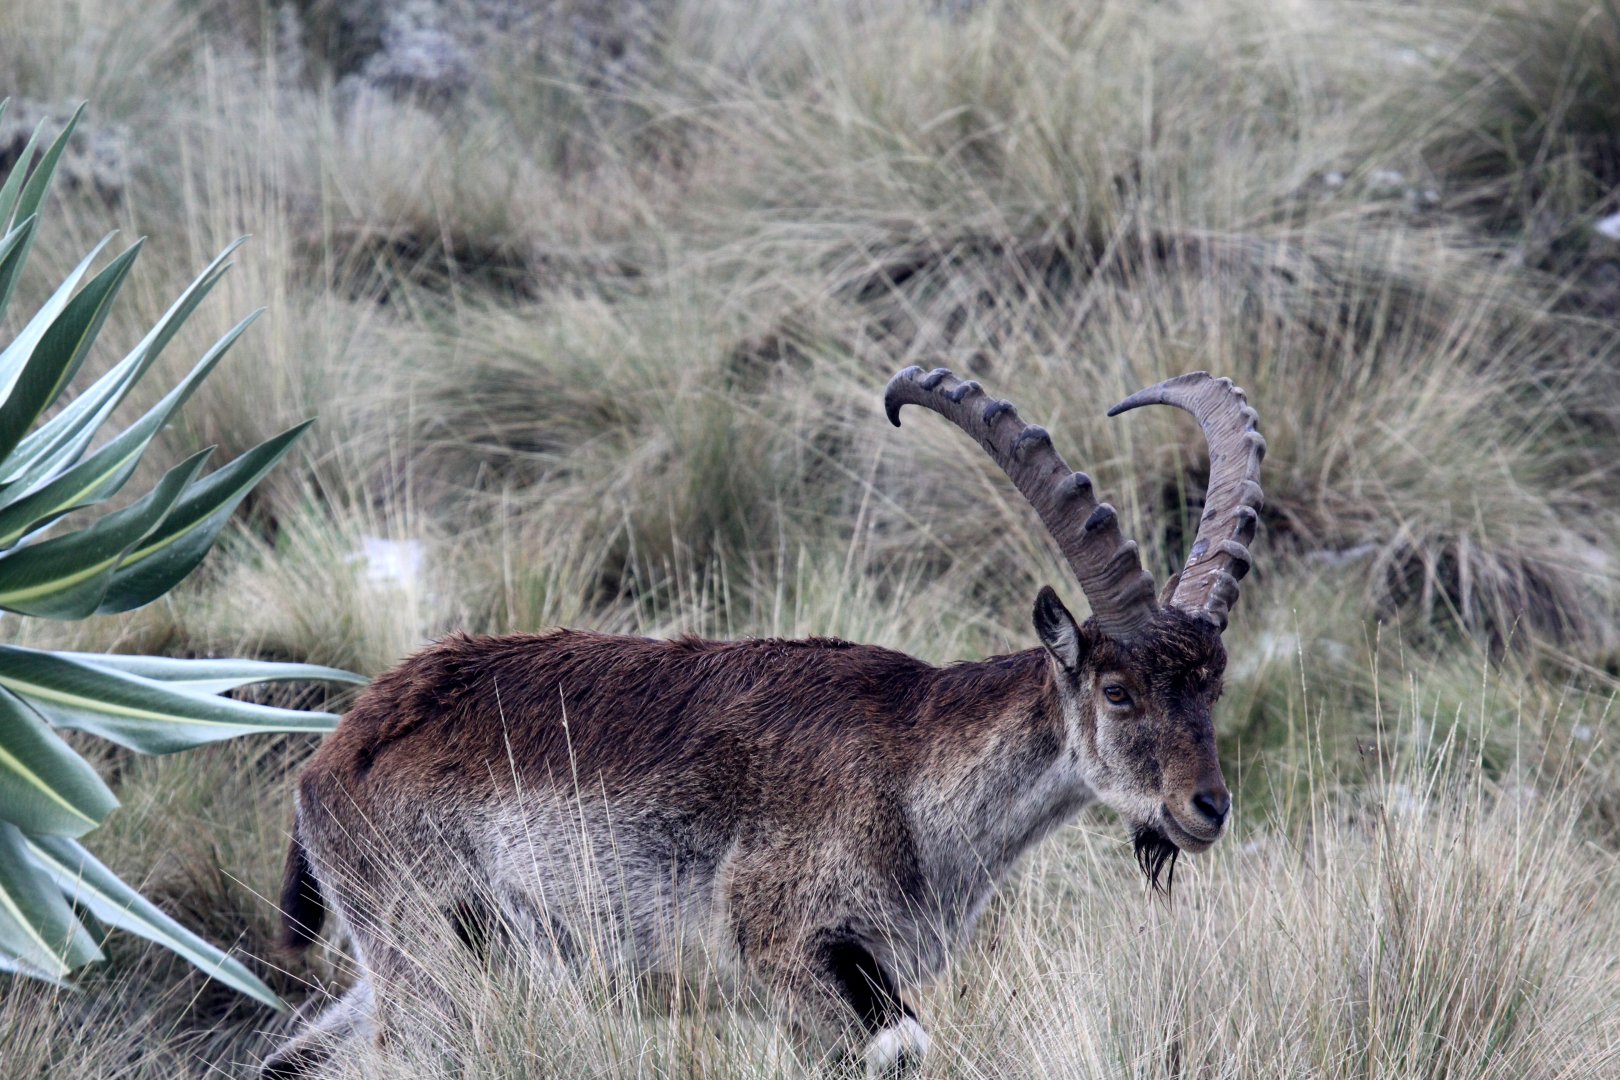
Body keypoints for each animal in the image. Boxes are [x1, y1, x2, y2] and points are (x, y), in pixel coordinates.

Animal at [263, 367, 1265, 1077]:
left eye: (1213, 685)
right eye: (1118, 690)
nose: (1205, 809)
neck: (910, 777)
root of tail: (335, 756)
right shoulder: (792, 956)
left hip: (415, 961)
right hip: (426, 959)